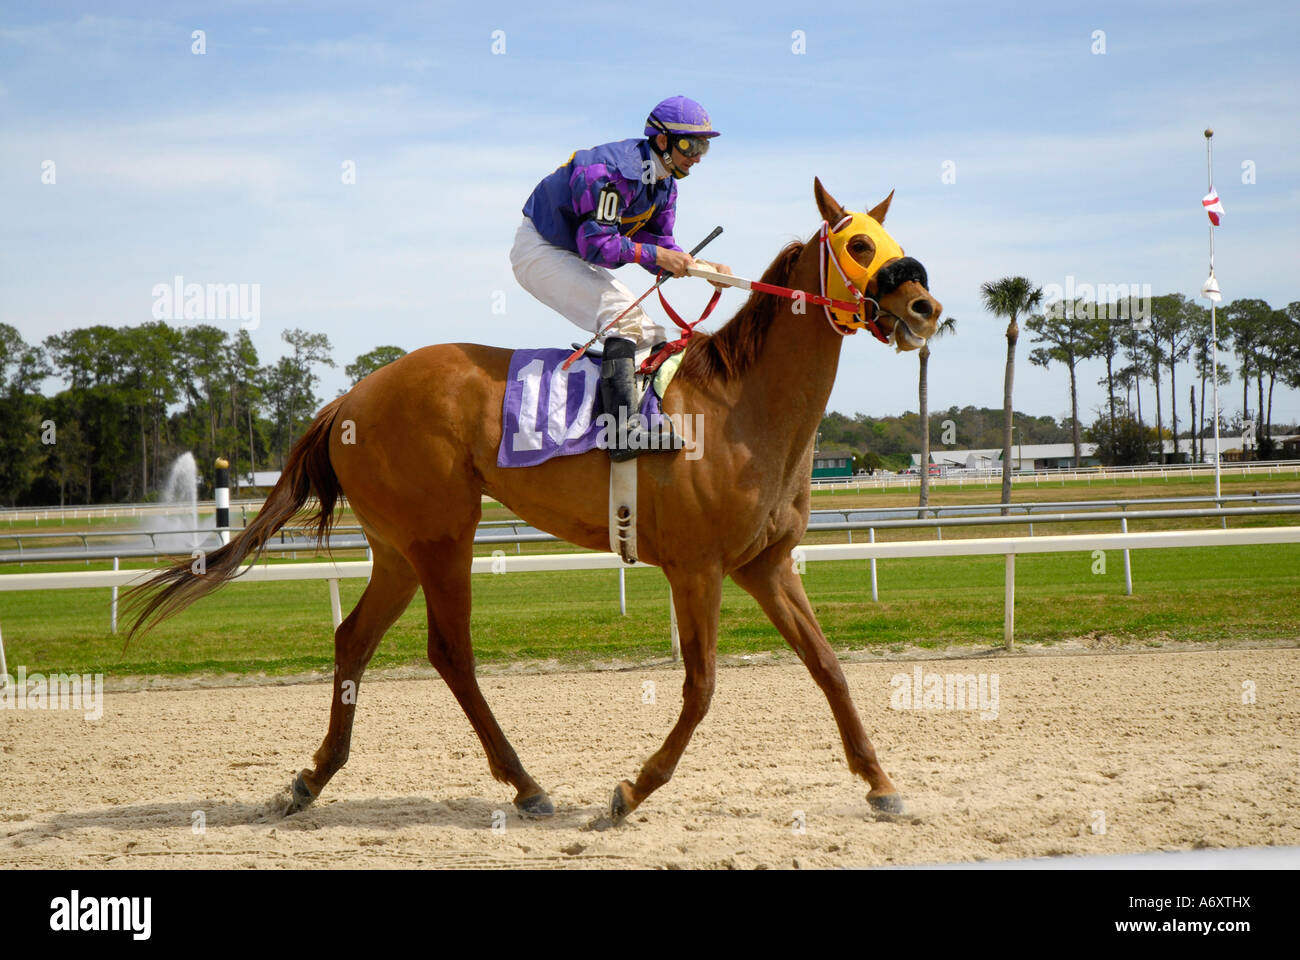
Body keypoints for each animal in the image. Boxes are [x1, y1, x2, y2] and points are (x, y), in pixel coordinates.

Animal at [126, 177, 942, 823]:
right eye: (860, 245)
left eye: (894, 240)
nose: (926, 307)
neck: (742, 407)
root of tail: (349, 398)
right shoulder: (697, 568)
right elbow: (703, 685)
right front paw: (631, 791)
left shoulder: (765, 564)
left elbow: (828, 666)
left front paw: (880, 784)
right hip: (442, 536)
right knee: (450, 651)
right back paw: (525, 784)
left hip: (397, 546)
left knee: (354, 639)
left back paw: (309, 781)